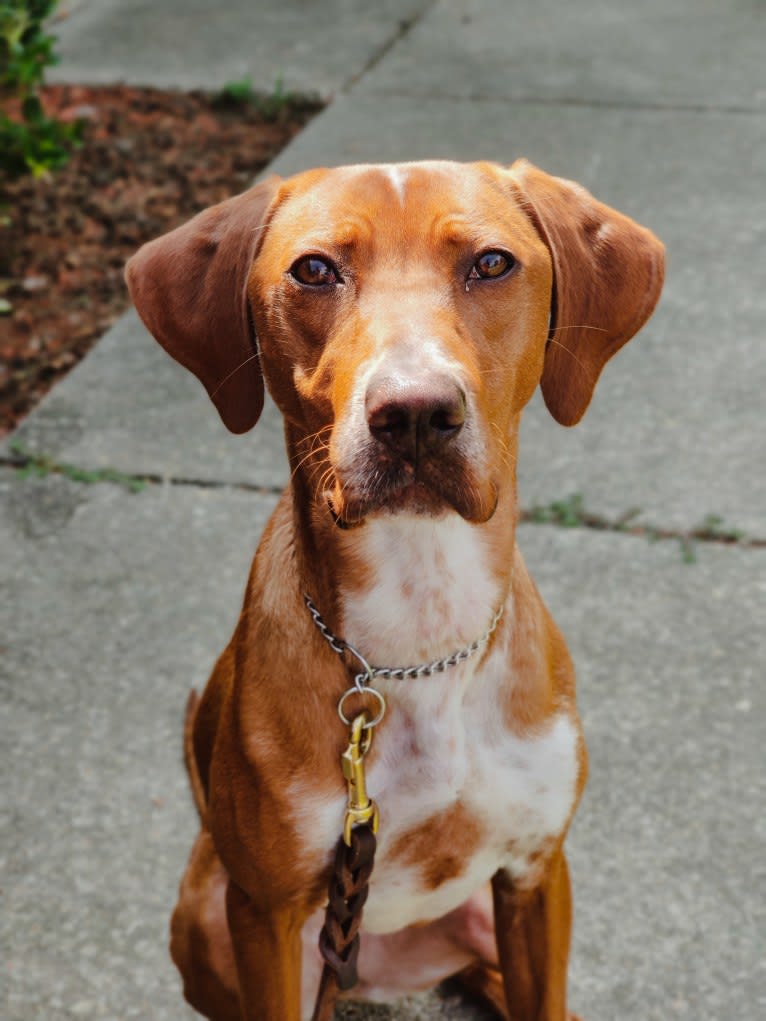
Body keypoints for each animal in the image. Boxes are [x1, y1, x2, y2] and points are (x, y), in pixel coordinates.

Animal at [126, 159, 665, 1021]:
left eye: (491, 263)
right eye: (314, 270)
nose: (413, 411)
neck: (422, 615)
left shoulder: (536, 872)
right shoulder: (266, 916)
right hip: (209, 916)